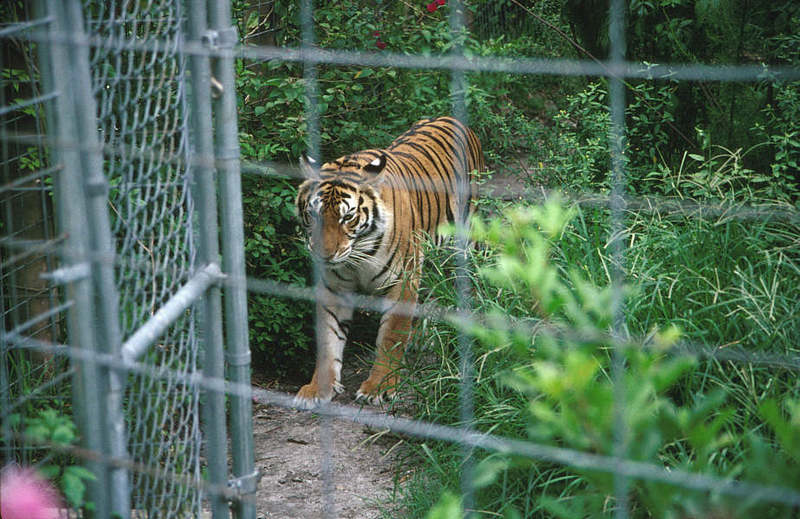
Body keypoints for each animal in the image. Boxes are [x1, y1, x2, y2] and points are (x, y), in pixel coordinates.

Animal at [292, 116, 482, 408]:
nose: (325, 255)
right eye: (313, 215)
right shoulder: (334, 287)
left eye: (347, 217)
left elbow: (392, 336)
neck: (356, 256)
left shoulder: (402, 281)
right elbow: (328, 338)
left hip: (465, 239)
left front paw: (379, 387)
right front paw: (317, 389)